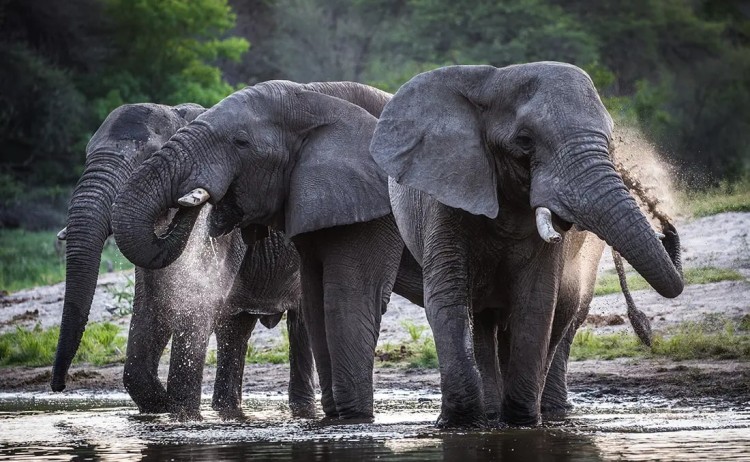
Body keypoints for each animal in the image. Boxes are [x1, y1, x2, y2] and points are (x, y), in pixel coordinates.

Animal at [50, 102, 315, 420]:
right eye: (88, 155)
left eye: (146, 156)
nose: (58, 387)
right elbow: (153, 303)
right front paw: (160, 410)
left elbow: (198, 300)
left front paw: (182, 417)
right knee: (235, 330)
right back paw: (228, 413)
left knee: (301, 324)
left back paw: (302, 411)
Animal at [111, 81, 425, 421]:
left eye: (240, 142)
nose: (192, 198)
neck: (314, 97)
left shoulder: (374, 204)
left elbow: (350, 297)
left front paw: (354, 419)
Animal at [370, 62, 683, 427]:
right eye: (524, 141)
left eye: (610, 139)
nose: (666, 230)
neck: (493, 81)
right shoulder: (444, 195)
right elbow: (448, 296)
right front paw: (461, 424)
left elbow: (535, 302)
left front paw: (521, 422)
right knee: (483, 320)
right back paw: (492, 413)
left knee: (563, 310)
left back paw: (544, 411)